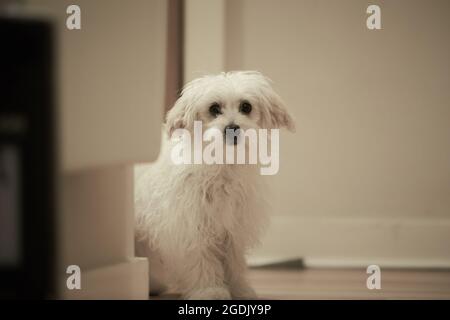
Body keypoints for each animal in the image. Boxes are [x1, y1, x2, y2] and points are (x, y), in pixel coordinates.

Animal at [134, 71, 296, 298]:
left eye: (246, 106)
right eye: (214, 108)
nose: (232, 129)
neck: (222, 164)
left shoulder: (233, 228)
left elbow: (234, 264)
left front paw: (239, 289)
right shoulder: (194, 227)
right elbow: (202, 262)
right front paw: (209, 290)